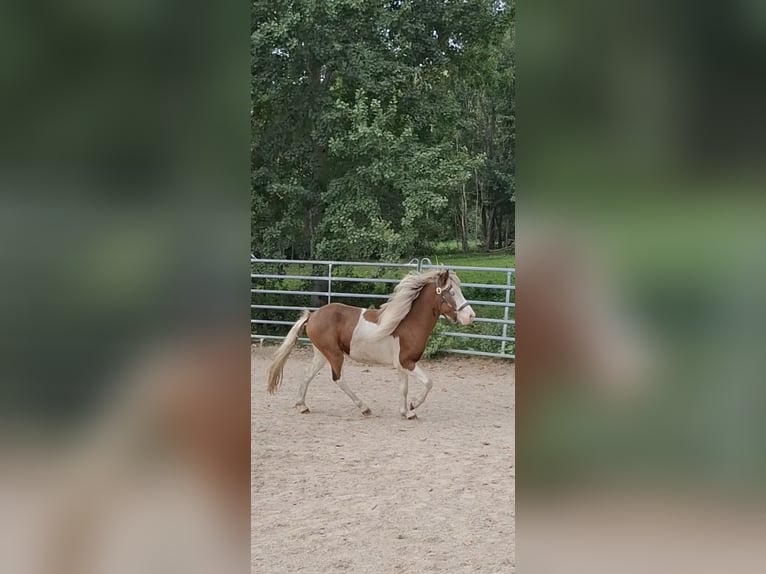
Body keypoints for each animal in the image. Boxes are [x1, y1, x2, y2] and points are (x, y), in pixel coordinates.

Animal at [266, 269, 476, 418]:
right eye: (451, 292)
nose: (470, 316)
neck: (407, 322)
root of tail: (312, 315)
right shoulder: (407, 362)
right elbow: (428, 383)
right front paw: (413, 404)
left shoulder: (401, 365)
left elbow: (403, 388)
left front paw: (406, 412)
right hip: (334, 354)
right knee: (338, 379)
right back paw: (364, 408)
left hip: (321, 354)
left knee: (308, 374)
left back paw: (302, 406)